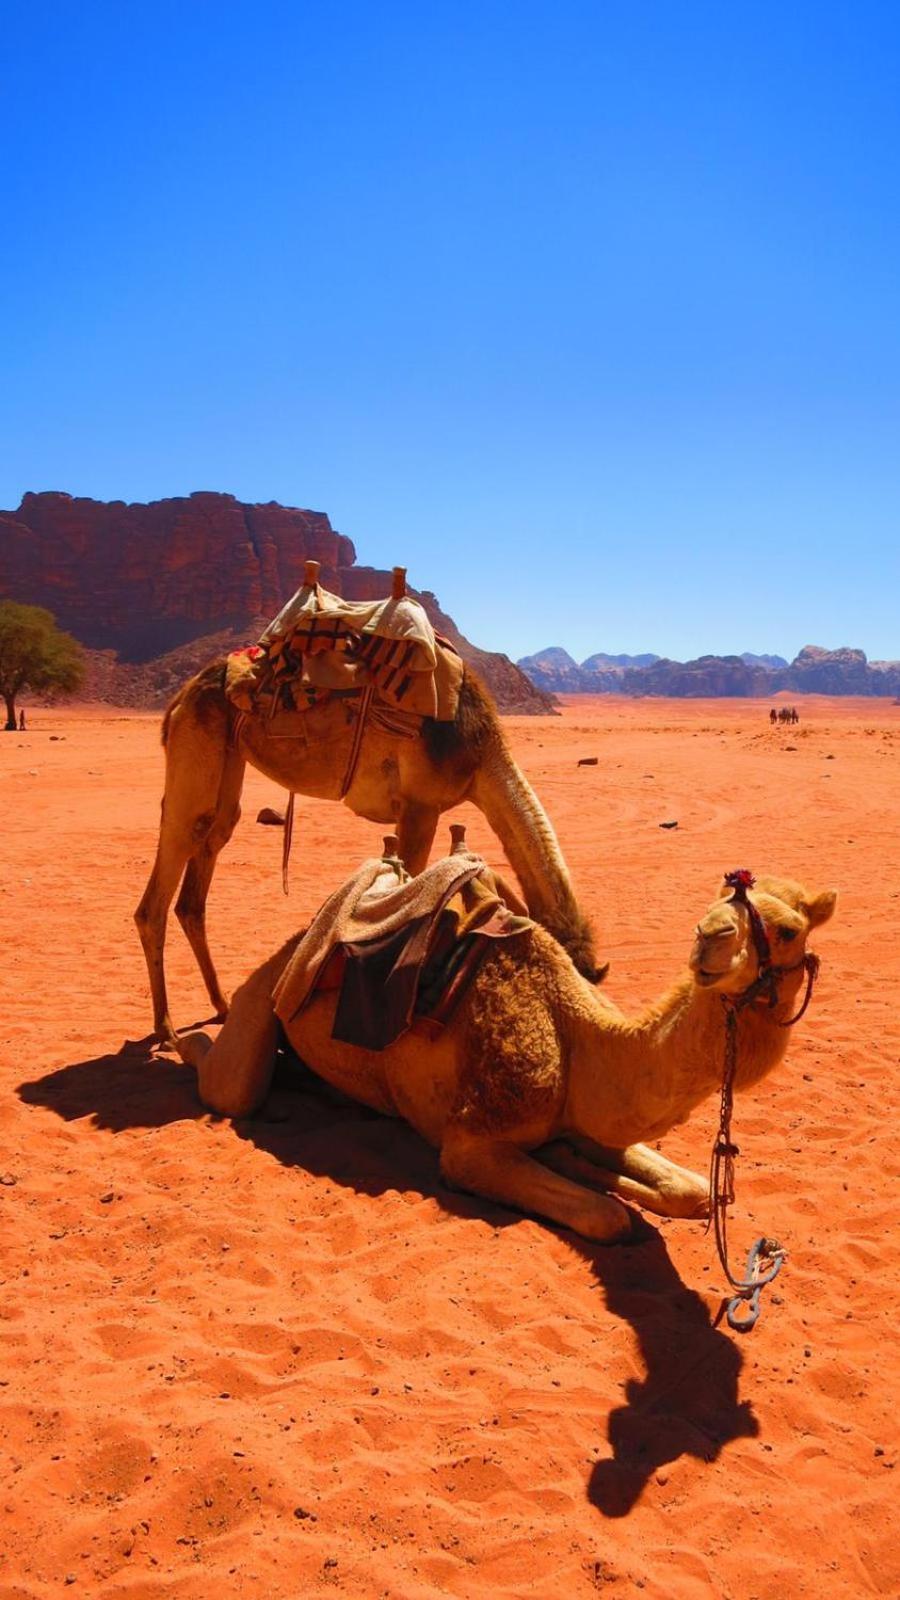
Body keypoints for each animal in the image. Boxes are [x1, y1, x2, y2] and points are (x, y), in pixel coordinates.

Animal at [134, 659, 602, 1043]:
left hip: (228, 764)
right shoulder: (419, 806)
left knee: (199, 876)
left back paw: (220, 1006)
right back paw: (166, 1029)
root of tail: (179, 698)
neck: (477, 753)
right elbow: (411, 886)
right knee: (163, 882)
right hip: (195, 749)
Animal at [176, 844, 832, 1241]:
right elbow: (606, 1217)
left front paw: (587, 1166)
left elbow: (694, 1190)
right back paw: (186, 1039)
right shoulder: (470, 1144)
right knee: (231, 1085)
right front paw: (600, 1188)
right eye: (716, 906)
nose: (709, 937)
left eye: (788, 929)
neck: (579, 1036)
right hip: (273, 982)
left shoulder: (589, 1119)